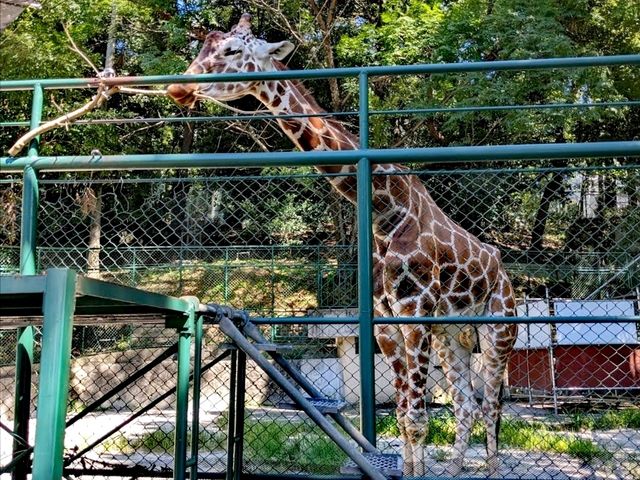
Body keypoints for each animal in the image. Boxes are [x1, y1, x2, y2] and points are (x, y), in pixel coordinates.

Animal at [168, 15, 516, 476]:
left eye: (231, 51)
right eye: (204, 45)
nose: (178, 87)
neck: (387, 212)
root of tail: (505, 272)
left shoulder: (415, 311)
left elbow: (417, 418)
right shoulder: (387, 321)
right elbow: (403, 415)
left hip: (498, 329)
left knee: (492, 403)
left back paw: (490, 467)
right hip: (452, 335)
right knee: (466, 404)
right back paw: (458, 467)